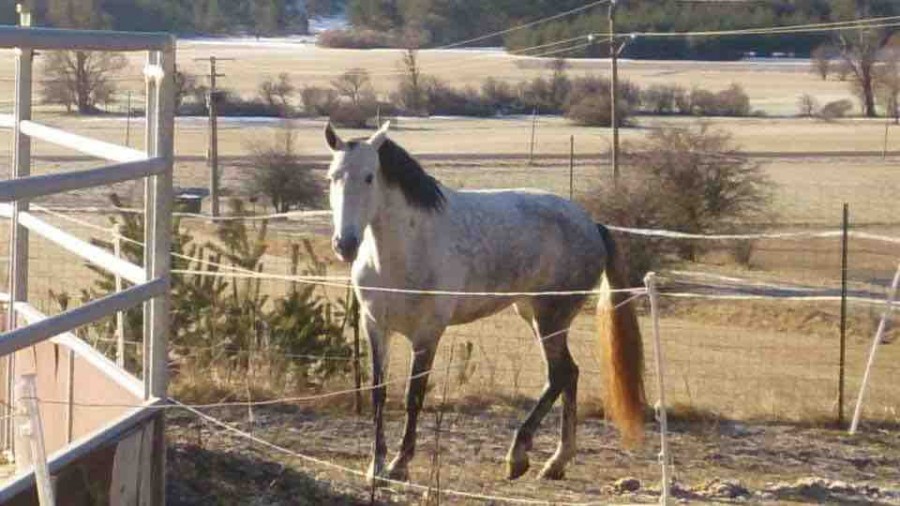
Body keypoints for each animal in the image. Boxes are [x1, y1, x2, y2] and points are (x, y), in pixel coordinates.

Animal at [326, 121, 644, 482]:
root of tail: (592, 225)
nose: (345, 244)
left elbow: (413, 395)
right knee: (569, 374)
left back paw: (519, 455)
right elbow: (378, 392)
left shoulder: (427, 334)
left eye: (369, 177)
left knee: (560, 374)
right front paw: (376, 464)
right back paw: (556, 462)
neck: (404, 249)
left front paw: (399, 464)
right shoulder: (375, 327)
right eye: (333, 177)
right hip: (533, 314)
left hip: (550, 317)